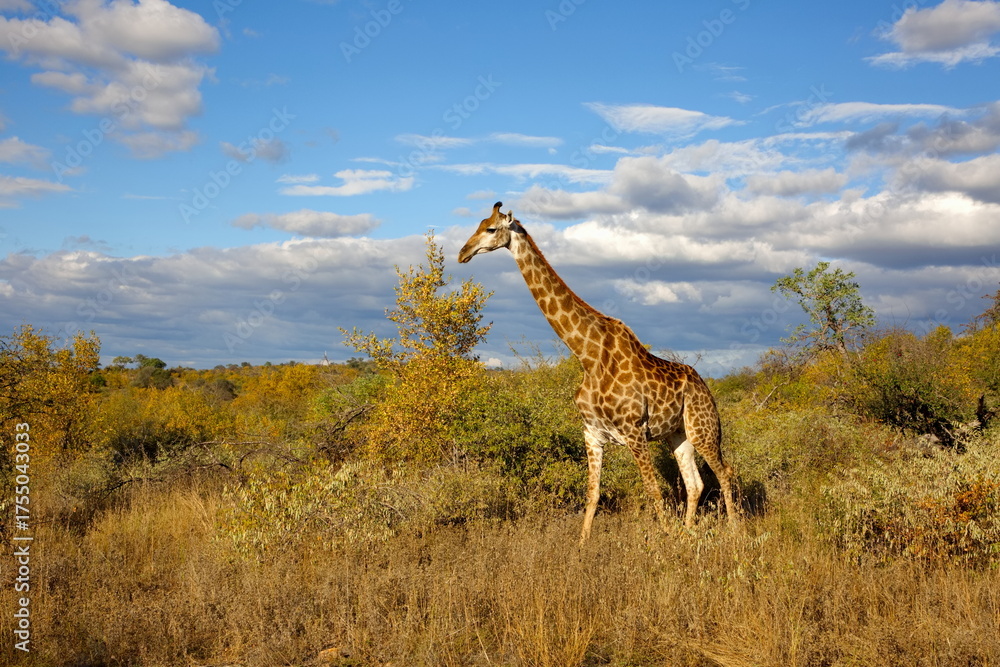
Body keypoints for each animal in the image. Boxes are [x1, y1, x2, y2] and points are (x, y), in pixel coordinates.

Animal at [458, 202, 738, 540]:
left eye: (490, 229)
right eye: (477, 225)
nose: (462, 253)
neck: (587, 356)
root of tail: (706, 387)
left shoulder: (634, 431)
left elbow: (653, 491)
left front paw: (664, 542)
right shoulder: (591, 433)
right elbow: (592, 494)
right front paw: (581, 546)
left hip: (702, 428)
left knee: (725, 472)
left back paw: (737, 532)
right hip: (677, 434)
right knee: (694, 483)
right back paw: (689, 534)